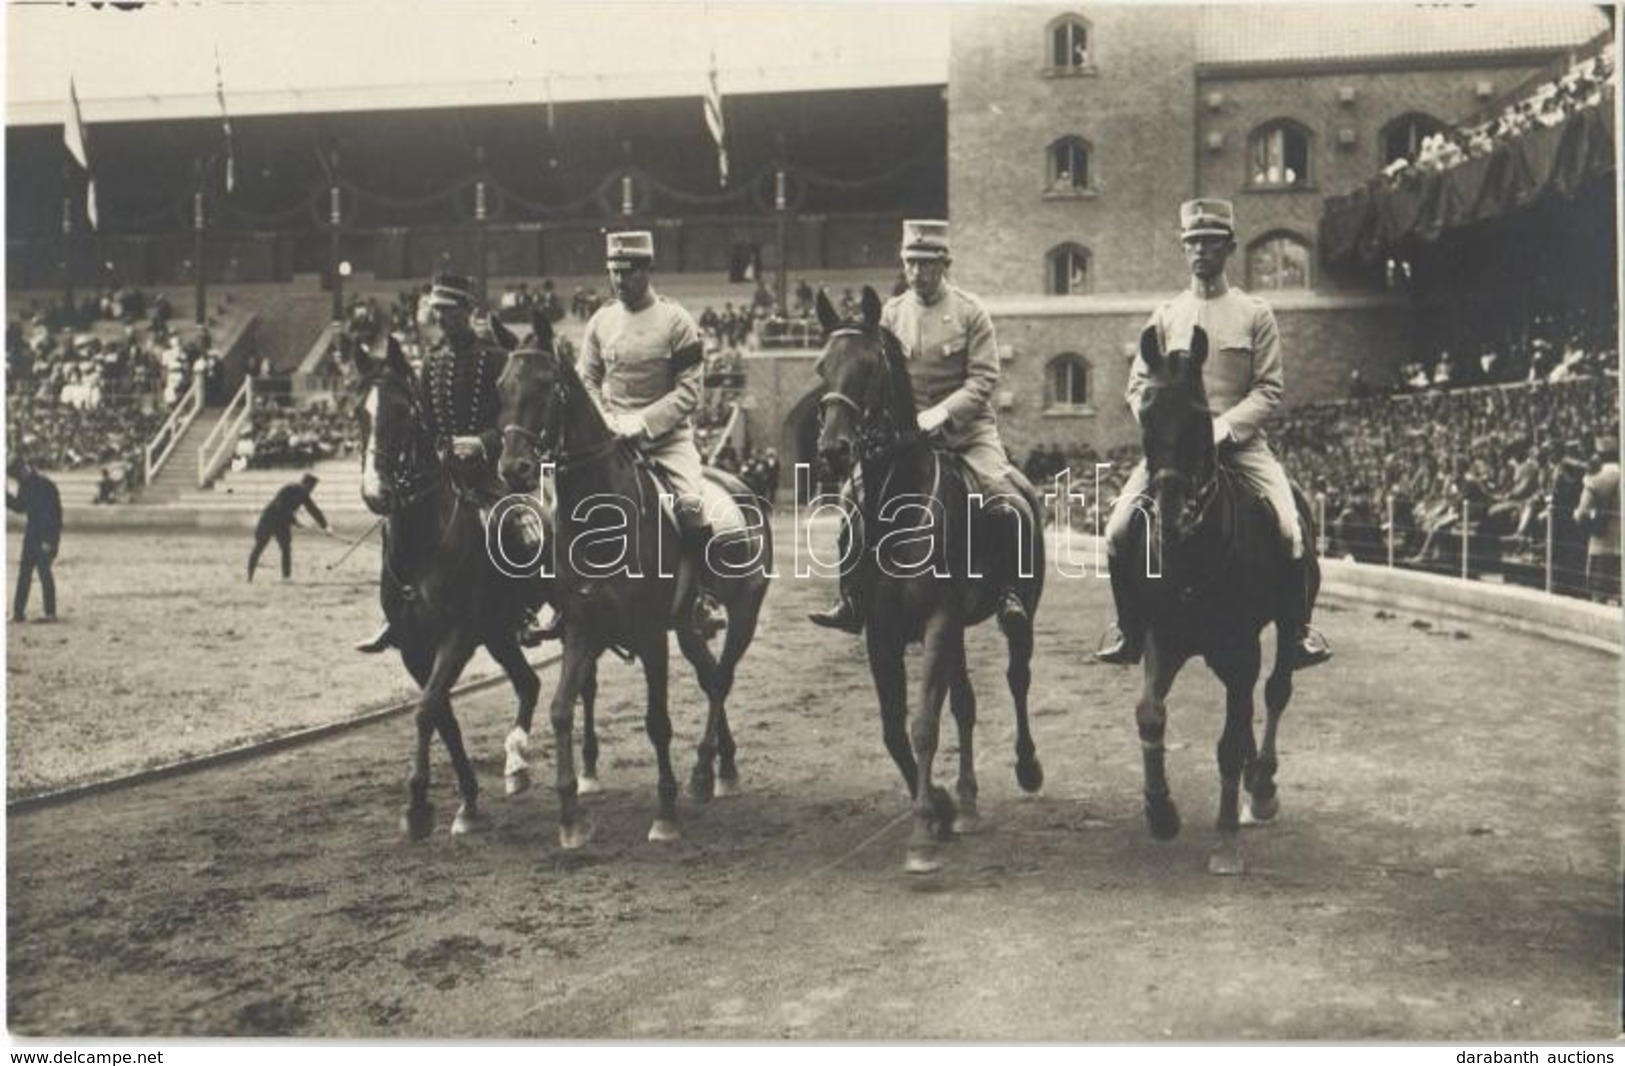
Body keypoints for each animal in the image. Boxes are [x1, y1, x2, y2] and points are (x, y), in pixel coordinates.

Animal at [494, 333, 773, 851]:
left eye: (545, 386)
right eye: (501, 386)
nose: (514, 468)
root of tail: (740, 484)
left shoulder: (649, 636)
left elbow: (657, 721)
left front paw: (665, 815)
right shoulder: (583, 629)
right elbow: (562, 709)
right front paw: (571, 816)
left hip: (743, 615)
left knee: (720, 680)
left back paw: (703, 771)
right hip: (686, 628)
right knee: (710, 675)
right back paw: (722, 766)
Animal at [809, 286, 1040, 877]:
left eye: (870, 367)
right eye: (822, 367)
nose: (833, 451)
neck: (899, 502)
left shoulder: (937, 622)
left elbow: (922, 724)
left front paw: (920, 837)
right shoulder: (881, 632)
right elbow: (895, 729)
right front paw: (938, 806)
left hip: (1014, 617)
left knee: (1016, 680)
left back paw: (1027, 767)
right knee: (966, 704)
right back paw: (967, 801)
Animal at [1131, 325, 1319, 877]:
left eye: (1199, 417)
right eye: (1145, 413)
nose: (1169, 518)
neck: (1193, 556)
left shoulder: (1241, 649)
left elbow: (1230, 743)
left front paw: (1226, 842)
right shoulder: (1163, 636)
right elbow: (1150, 713)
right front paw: (1161, 812)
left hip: (1286, 625)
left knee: (1275, 692)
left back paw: (1262, 789)